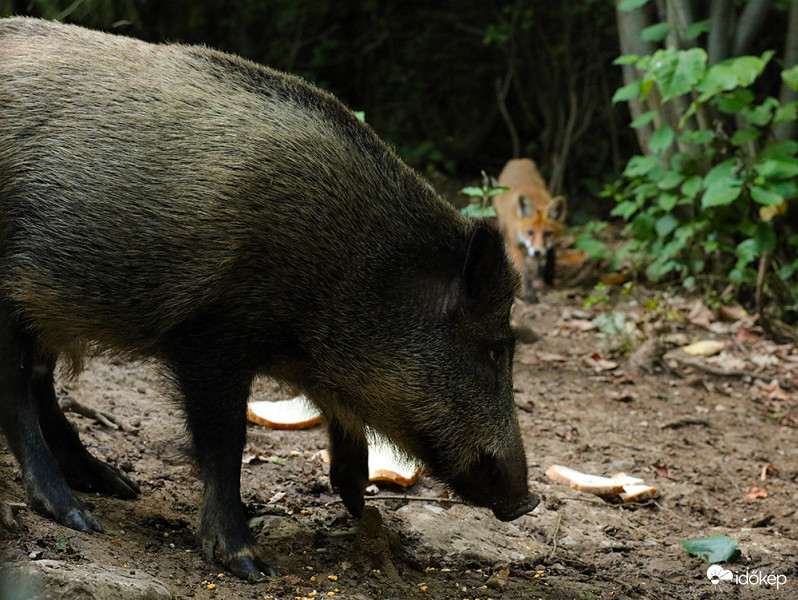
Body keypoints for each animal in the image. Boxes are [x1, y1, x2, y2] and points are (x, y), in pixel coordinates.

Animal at [494, 158, 568, 302]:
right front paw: (529, 294)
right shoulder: (515, 244)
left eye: (548, 233)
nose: (537, 251)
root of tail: (518, 160)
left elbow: (551, 254)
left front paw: (548, 275)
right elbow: (524, 273)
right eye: (530, 232)